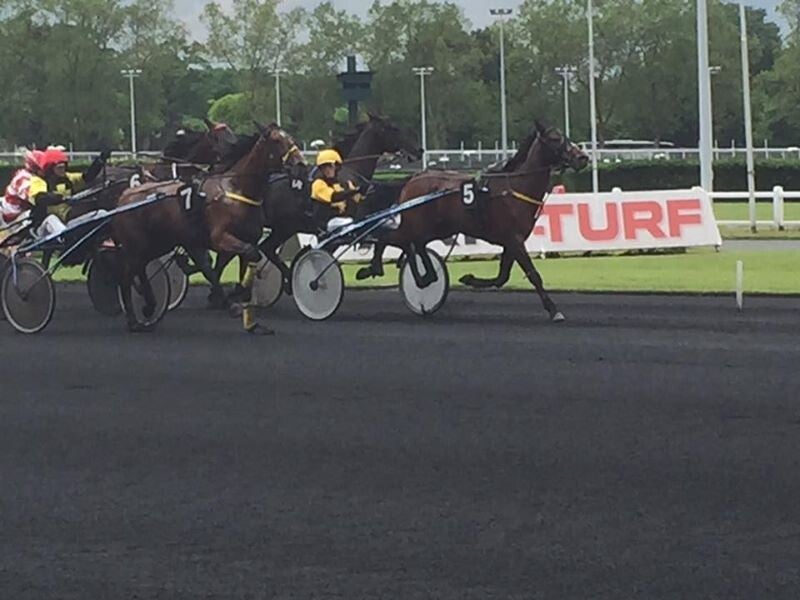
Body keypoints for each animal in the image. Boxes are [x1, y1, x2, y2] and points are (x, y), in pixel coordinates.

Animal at [111, 122, 305, 332]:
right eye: (277, 140)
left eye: (291, 138)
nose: (300, 164)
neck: (236, 189)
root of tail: (125, 196)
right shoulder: (219, 238)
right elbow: (242, 256)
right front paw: (231, 300)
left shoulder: (244, 239)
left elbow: (241, 263)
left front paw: (247, 314)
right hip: (137, 246)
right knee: (126, 275)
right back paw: (134, 320)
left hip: (157, 244)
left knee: (140, 268)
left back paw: (149, 304)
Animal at [356, 120, 589, 322]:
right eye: (555, 138)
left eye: (565, 136)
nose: (583, 157)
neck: (514, 187)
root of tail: (413, 179)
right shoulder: (513, 239)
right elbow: (533, 274)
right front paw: (554, 310)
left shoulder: (511, 241)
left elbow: (502, 277)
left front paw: (469, 279)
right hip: (416, 225)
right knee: (389, 236)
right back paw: (374, 268)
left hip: (436, 228)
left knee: (414, 244)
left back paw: (424, 277)